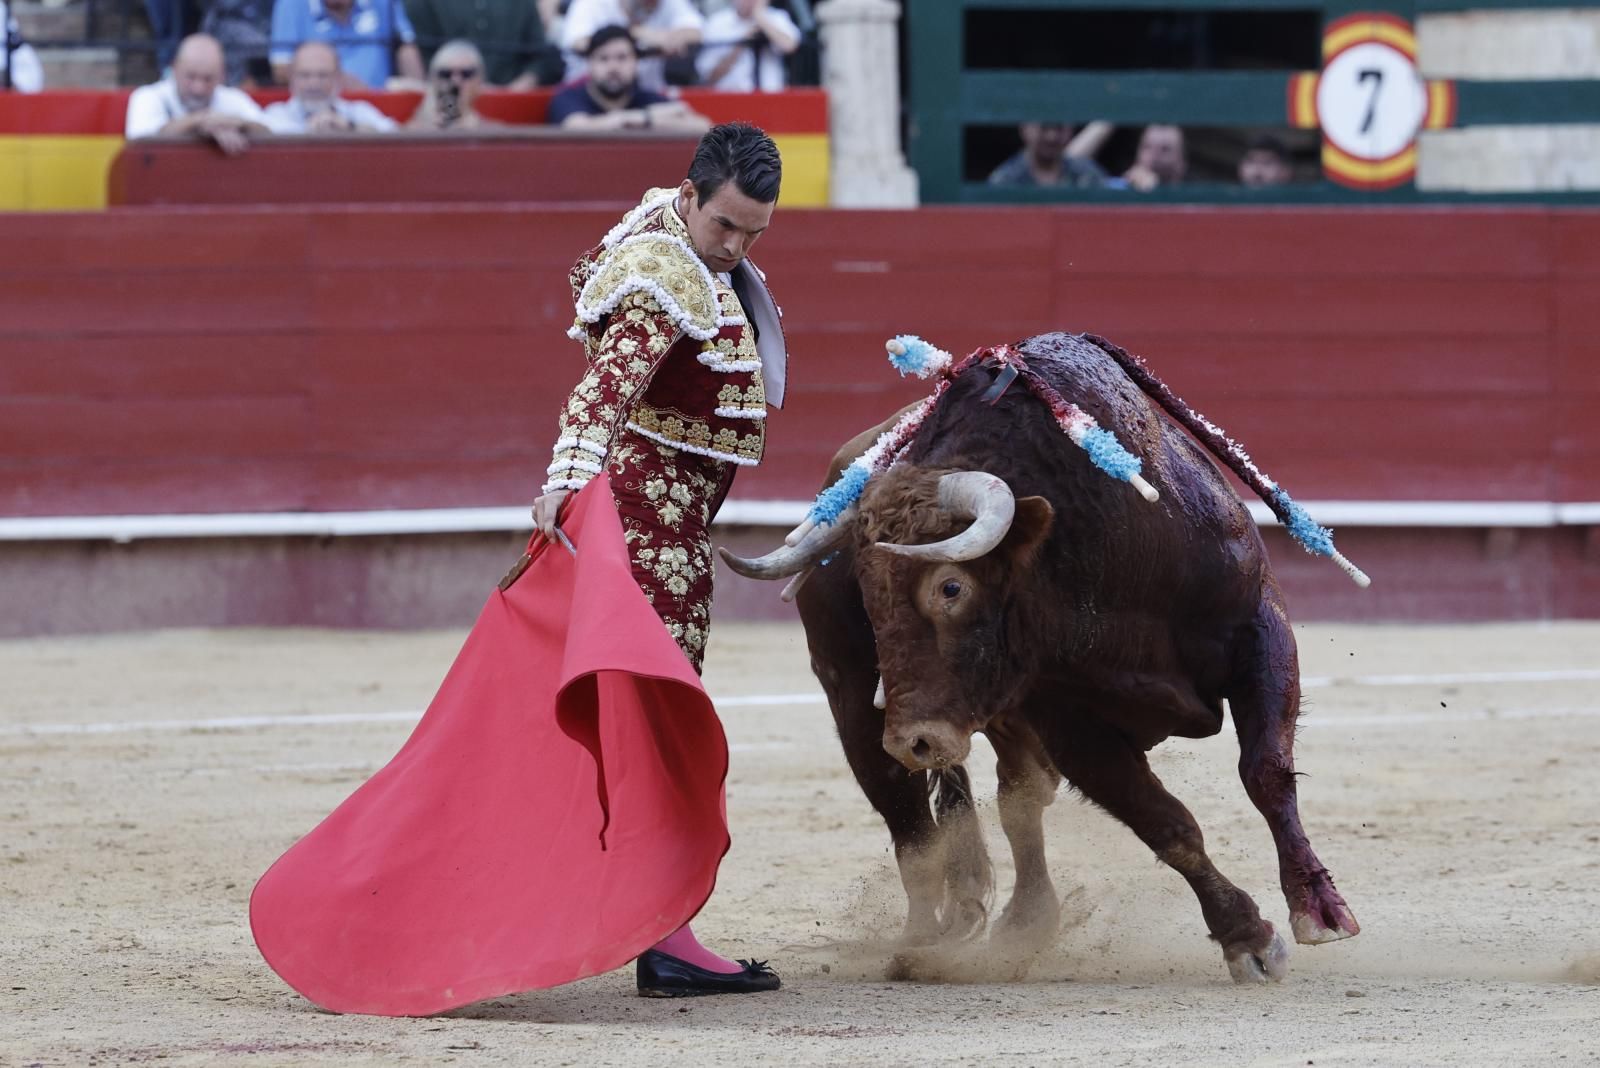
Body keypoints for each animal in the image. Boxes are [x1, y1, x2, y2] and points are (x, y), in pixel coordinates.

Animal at [726, 330, 1363, 984]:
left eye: (950, 587)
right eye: (869, 595)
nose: (916, 740)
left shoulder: (1260, 631)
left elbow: (1266, 772)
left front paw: (1319, 909)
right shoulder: (1067, 717)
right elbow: (1166, 822)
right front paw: (1247, 937)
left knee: (1016, 798)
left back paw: (1019, 925)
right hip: (855, 704)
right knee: (919, 828)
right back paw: (928, 944)